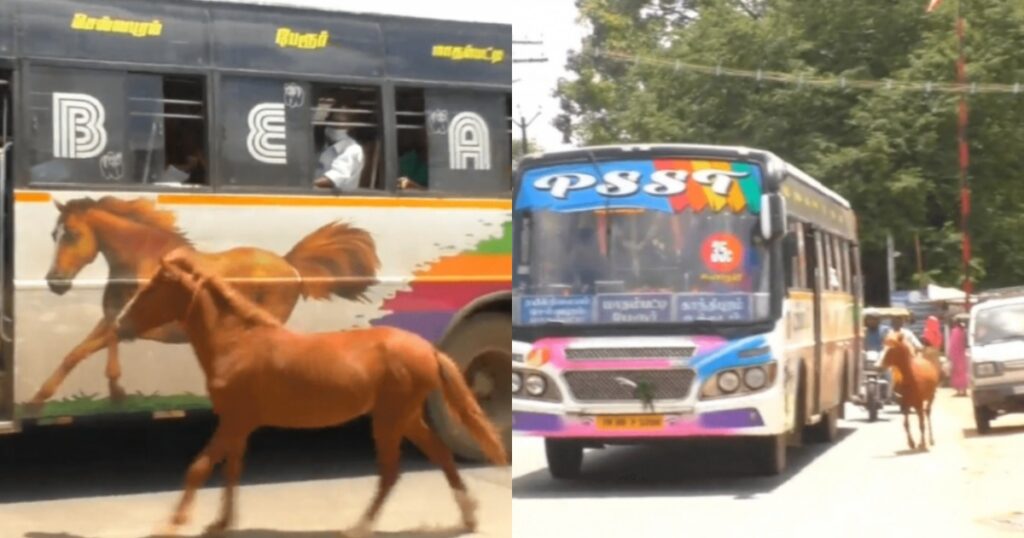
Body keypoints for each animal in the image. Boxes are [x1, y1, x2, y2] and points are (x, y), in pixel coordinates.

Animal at [115, 247, 507, 536]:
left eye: (154, 287)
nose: (120, 324)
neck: (237, 343)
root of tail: (428, 349)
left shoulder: (234, 420)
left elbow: (199, 468)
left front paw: (173, 524)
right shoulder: (238, 424)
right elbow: (231, 469)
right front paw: (222, 522)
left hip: (390, 419)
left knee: (391, 471)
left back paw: (360, 526)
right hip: (406, 417)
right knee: (440, 455)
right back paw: (468, 517)